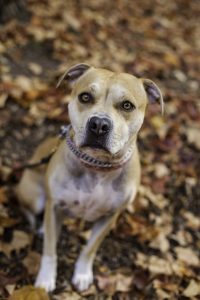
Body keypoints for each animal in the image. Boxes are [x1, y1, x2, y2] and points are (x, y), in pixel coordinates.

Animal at [15, 64, 163, 292]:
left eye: (127, 105)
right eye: (85, 97)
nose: (99, 125)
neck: (97, 166)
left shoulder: (110, 216)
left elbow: (90, 248)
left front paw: (83, 274)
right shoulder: (54, 205)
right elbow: (50, 250)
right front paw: (46, 279)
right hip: (35, 197)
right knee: (32, 213)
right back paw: (40, 228)